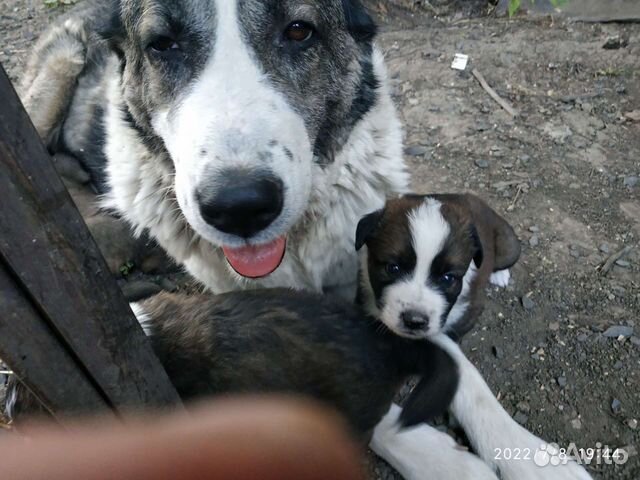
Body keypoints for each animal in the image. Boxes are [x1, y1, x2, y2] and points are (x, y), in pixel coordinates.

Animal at [352, 192, 524, 342]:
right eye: (392, 268)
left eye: (448, 278)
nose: (415, 321)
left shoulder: (468, 313)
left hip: (509, 246)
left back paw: (500, 275)